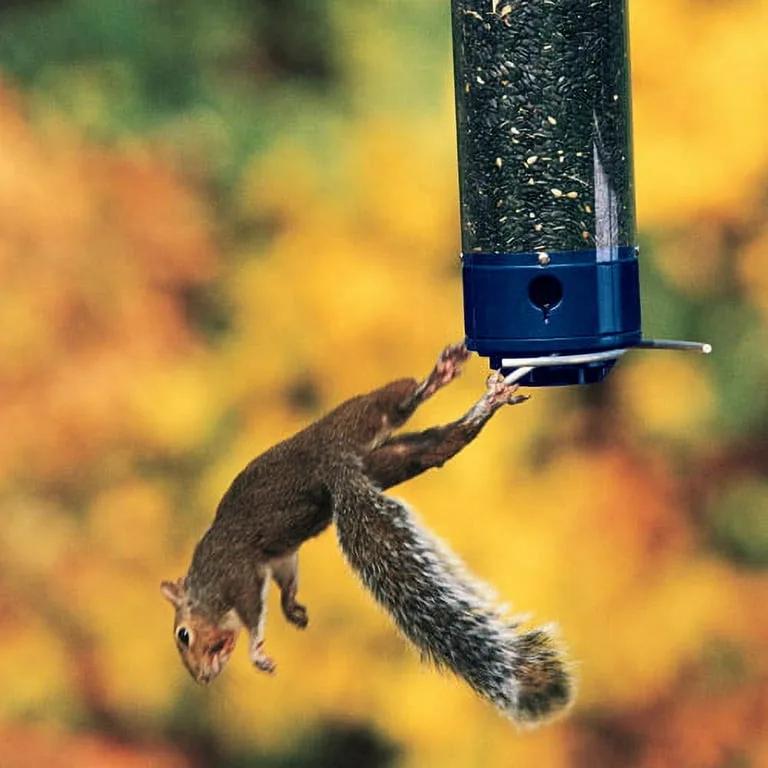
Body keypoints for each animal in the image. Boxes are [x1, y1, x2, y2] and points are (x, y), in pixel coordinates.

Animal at [161, 342, 574, 725]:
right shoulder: (278, 557)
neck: (204, 587)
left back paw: (439, 376)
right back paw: (486, 405)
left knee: (400, 403)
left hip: (357, 419)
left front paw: (257, 650)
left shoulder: (237, 573)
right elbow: (287, 578)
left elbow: (253, 612)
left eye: (183, 635)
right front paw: (292, 610)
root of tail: (335, 463)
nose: (202, 678)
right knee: (440, 443)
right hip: (391, 459)